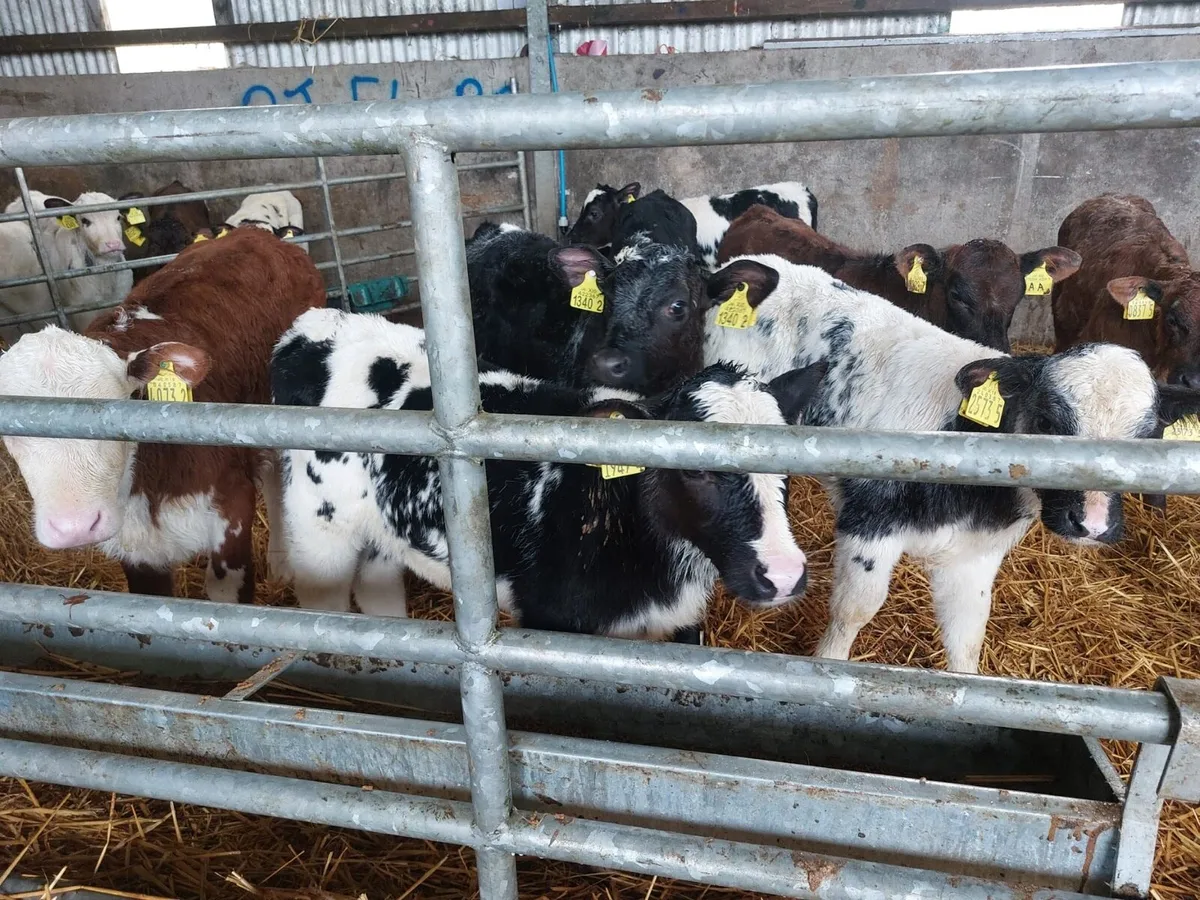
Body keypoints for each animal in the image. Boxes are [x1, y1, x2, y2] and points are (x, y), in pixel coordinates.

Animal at [270, 306, 826, 640]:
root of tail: (319, 322)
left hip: (385, 528)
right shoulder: (550, 619)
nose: (783, 574)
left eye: (787, 467)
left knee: (378, 587)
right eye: (695, 471)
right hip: (318, 529)